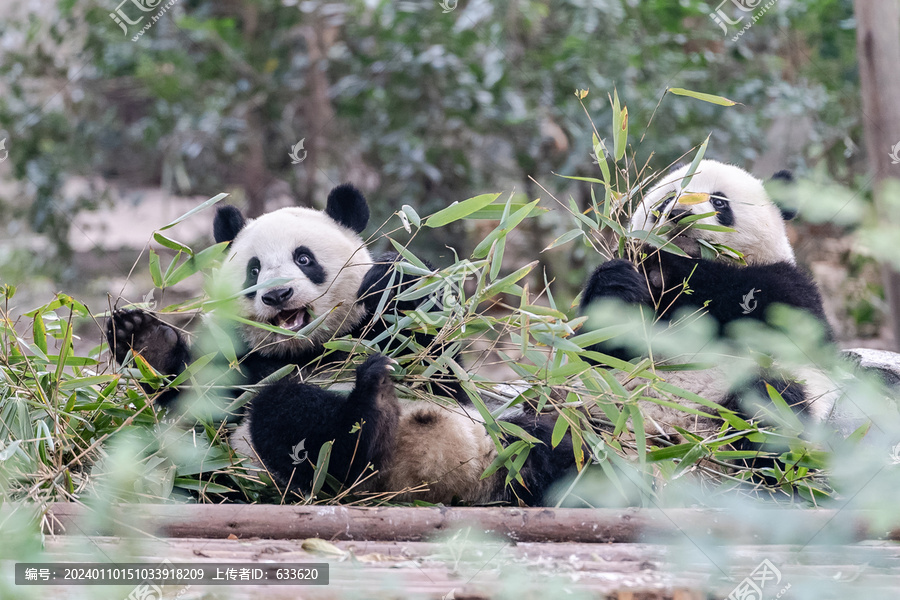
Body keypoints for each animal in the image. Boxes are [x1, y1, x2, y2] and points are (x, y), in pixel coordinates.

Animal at [109, 184, 572, 506]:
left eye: (304, 258)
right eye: (253, 270)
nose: (277, 295)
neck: (312, 348)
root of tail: (441, 477)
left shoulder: (384, 326)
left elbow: (435, 355)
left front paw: (395, 280)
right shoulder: (245, 360)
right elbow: (203, 402)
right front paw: (144, 338)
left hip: (503, 437)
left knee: (555, 444)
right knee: (289, 421)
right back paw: (372, 409)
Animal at [580, 162, 840, 448]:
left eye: (719, 201)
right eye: (668, 198)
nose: (679, 214)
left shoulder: (789, 292)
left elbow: (740, 298)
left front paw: (660, 269)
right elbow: (598, 347)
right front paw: (622, 280)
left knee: (772, 402)